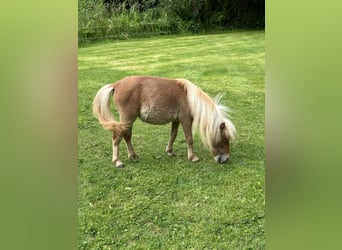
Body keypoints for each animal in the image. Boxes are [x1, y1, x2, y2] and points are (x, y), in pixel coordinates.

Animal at [93, 75, 238, 167]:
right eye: (224, 140)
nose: (225, 160)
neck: (190, 100)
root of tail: (116, 85)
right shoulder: (186, 120)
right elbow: (189, 138)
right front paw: (193, 157)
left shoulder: (176, 121)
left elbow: (172, 136)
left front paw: (170, 151)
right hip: (127, 118)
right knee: (117, 137)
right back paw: (117, 161)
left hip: (128, 121)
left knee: (127, 136)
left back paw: (132, 155)